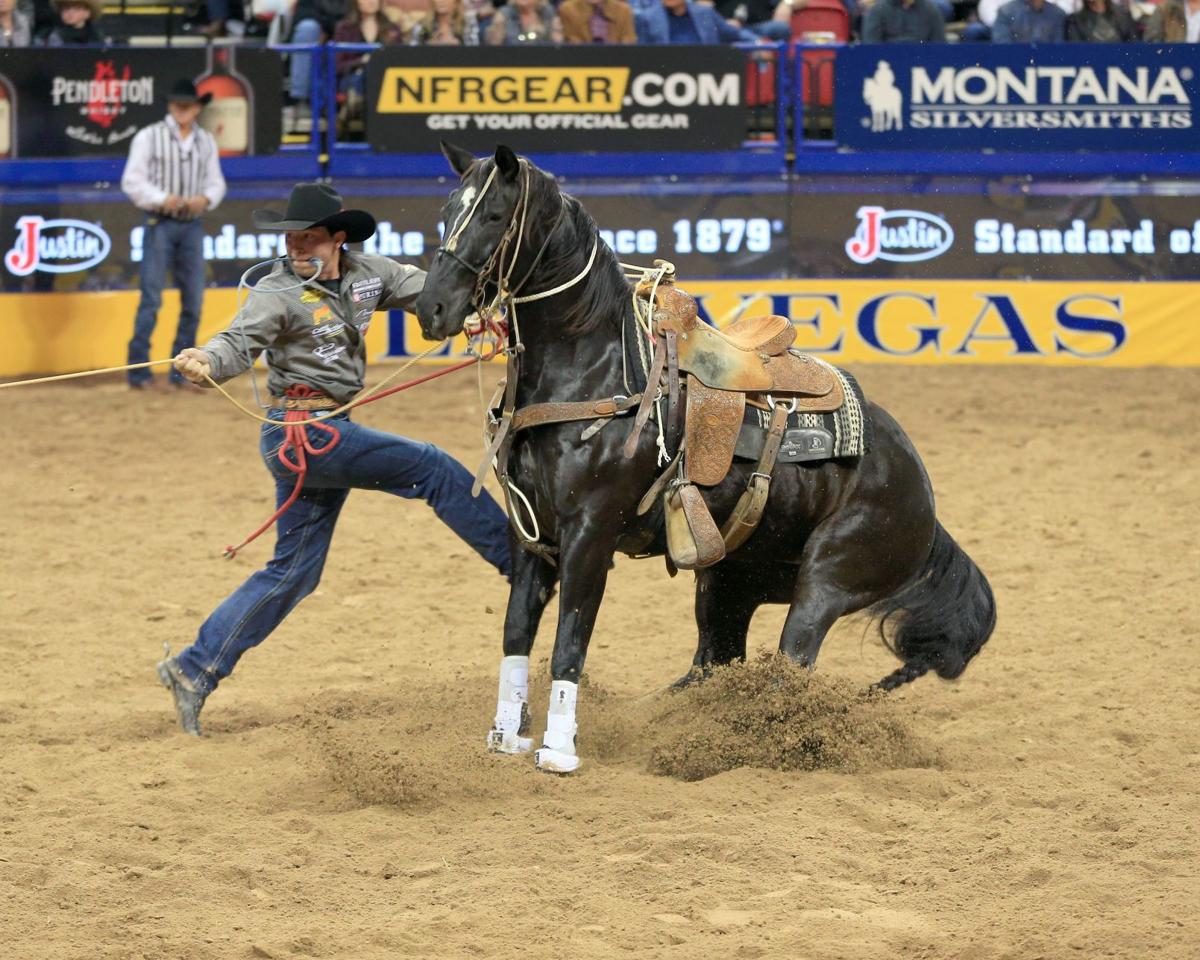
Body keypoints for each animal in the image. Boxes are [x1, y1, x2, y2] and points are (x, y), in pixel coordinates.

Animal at [412, 142, 993, 772]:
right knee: (711, 667)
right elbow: (517, 631)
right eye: (446, 211)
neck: (595, 369)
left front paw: (558, 750)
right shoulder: (532, 533)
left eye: (495, 215)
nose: (431, 307)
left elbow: (570, 640)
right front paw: (505, 735)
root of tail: (922, 496)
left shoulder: (590, 535)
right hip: (729, 583)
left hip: (827, 581)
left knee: (789, 668)